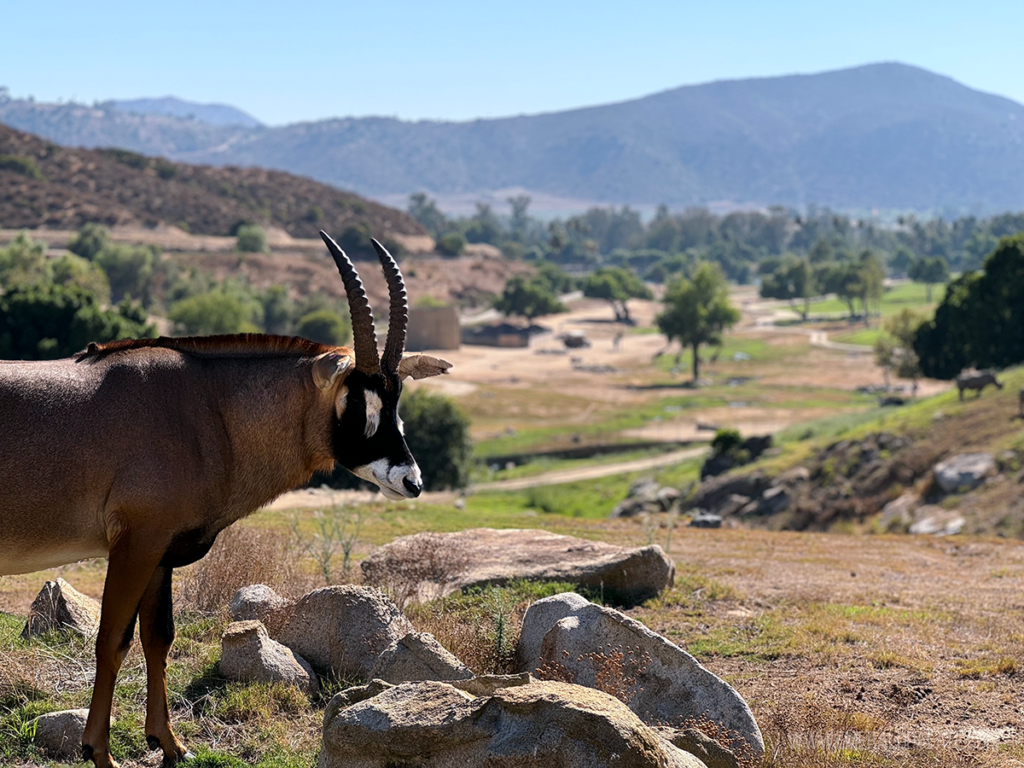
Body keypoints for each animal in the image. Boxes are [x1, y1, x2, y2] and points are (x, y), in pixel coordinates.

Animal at [0, 234, 450, 768]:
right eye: (356, 400)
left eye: (397, 399)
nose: (411, 481)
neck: (209, 409)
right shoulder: (135, 544)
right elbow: (112, 640)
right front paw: (100, 751)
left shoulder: (159, 553)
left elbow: (158, 638)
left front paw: (169, 743)